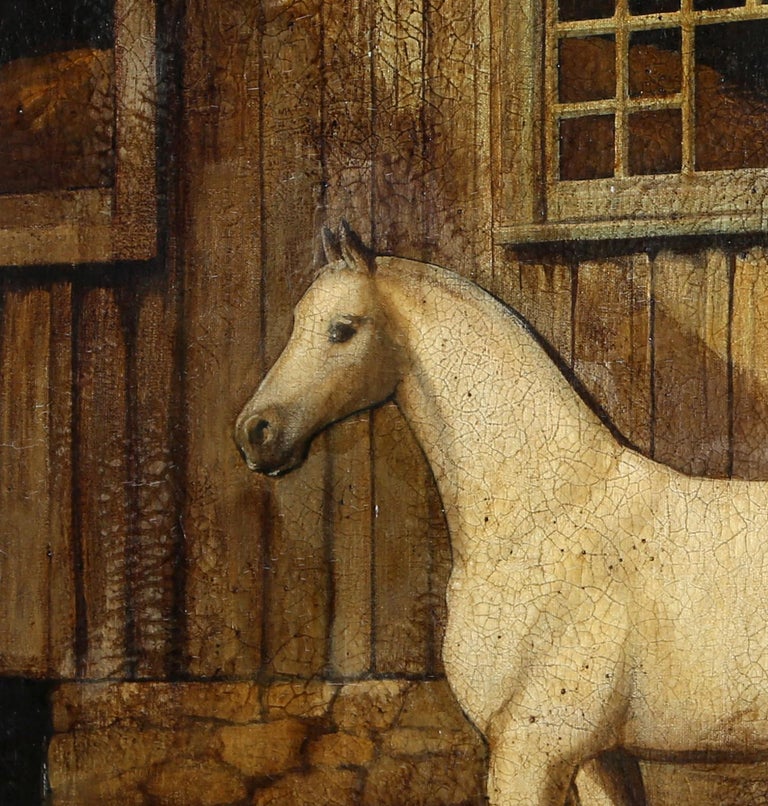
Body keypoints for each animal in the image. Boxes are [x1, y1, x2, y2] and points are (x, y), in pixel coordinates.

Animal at [235, 223, 768, 806]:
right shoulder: (599, 757)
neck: (546, 518)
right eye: (295, 322)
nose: (255, 432)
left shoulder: (533, 749)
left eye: (342, 330)